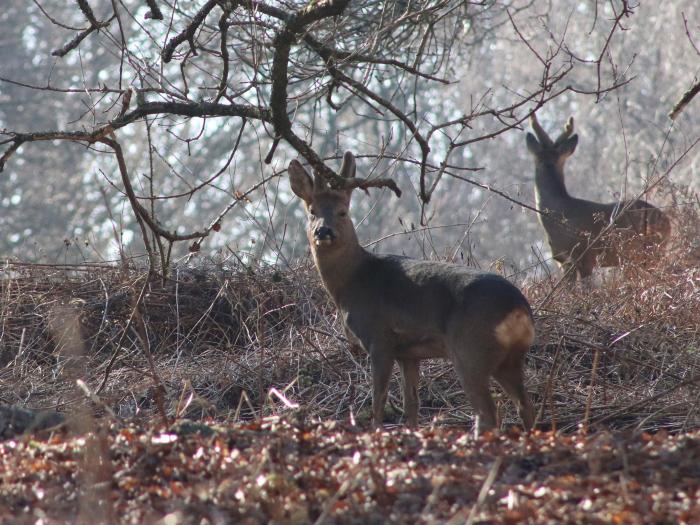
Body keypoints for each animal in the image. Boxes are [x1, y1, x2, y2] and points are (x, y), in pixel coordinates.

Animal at [290, 150, 536, 430]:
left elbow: (378, 399)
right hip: (510, 359)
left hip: (470, 349)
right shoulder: (408, 353)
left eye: (343, 212)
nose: (323, 231)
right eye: (312, 211)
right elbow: (411, 403)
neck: (353, 281)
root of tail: (518, 308)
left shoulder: (380, 338)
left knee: (488, 412)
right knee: (525, 405)